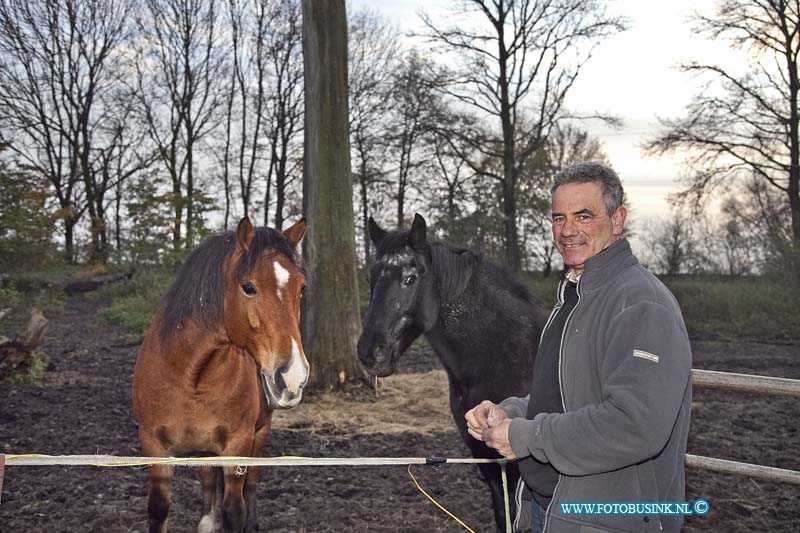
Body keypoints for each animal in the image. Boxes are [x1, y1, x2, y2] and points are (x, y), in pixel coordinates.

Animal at [133, 217, 308, 532]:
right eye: (248, 287)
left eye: (301, 288)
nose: (293, 377)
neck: (191, 377)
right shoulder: (152, 443)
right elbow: (159, 508)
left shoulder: (238, 442)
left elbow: (234, 510)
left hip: (259, 434)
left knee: (249, 486)